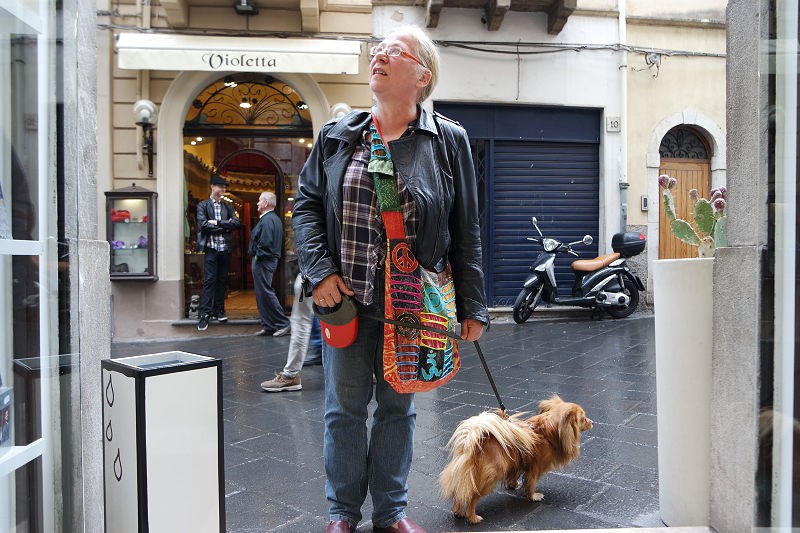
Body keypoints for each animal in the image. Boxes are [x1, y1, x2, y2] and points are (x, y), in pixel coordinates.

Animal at [439, 394, 593, 524]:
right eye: (583, 418)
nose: (592, 422)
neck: (547, 432)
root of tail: (472, 444)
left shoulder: (516, 464)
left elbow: (514, 476)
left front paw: (513, 485)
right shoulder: (534, 469)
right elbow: (531, 483)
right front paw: (533, 496)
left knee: (460, 494)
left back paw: (458, 512)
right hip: (489, 478)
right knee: (471, 498)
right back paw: (473, 517)